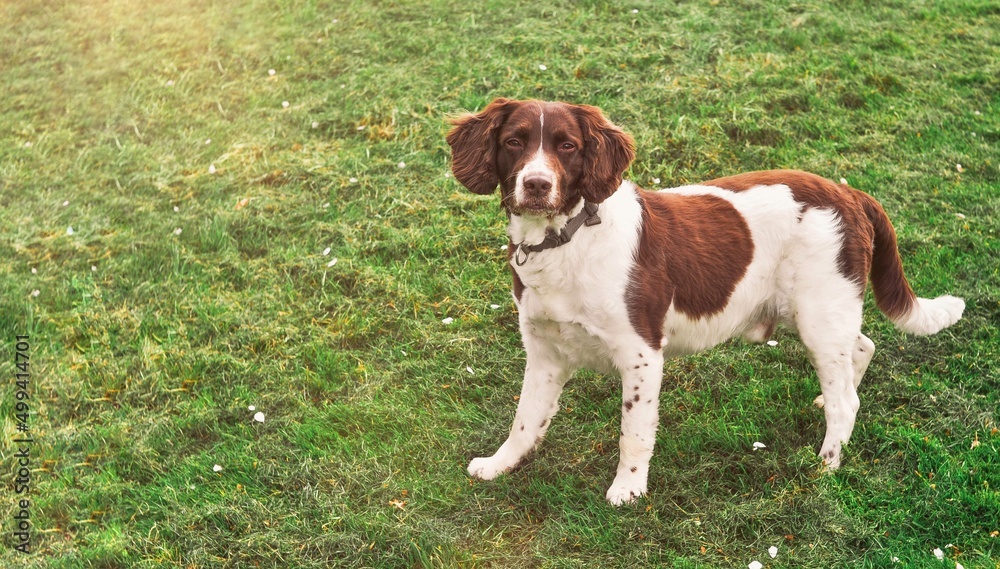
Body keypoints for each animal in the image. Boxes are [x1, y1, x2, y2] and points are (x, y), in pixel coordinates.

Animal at [446, 98, 960, 506]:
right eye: (514, 142)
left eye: (567, 146)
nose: (535, 185)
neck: (563, 239)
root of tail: (849, 193)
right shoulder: (545, 350)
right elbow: (524, 419)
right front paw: (499, 464)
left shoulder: (641, 353)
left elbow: (633, 433)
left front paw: (628, 490)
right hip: (817, 312)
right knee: (861, 349)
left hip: (820, 312)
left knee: (846, 400)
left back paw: (827, 462)